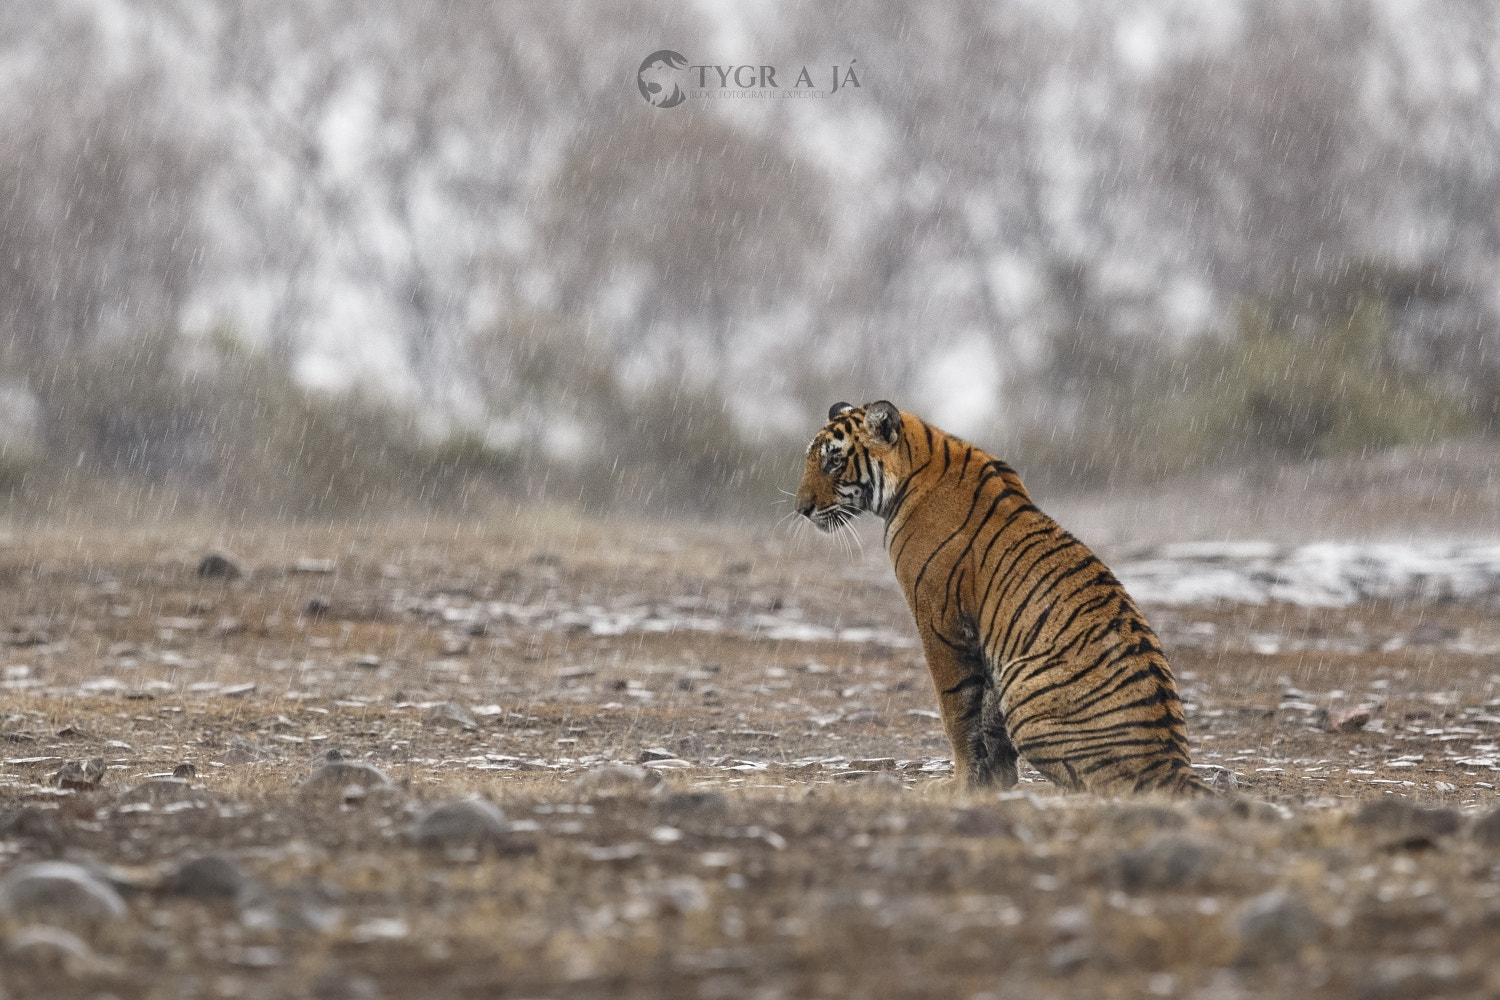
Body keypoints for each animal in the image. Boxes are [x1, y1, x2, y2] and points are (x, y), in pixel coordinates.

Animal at [798, 398, 1206, 797]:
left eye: (833, 462)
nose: (801, 508)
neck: (917, 463)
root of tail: (1174, 764)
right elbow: (990, 724)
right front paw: (994, 782)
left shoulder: (940, 623)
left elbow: (958, 713)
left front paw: (960, 785)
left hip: (1025, 691)